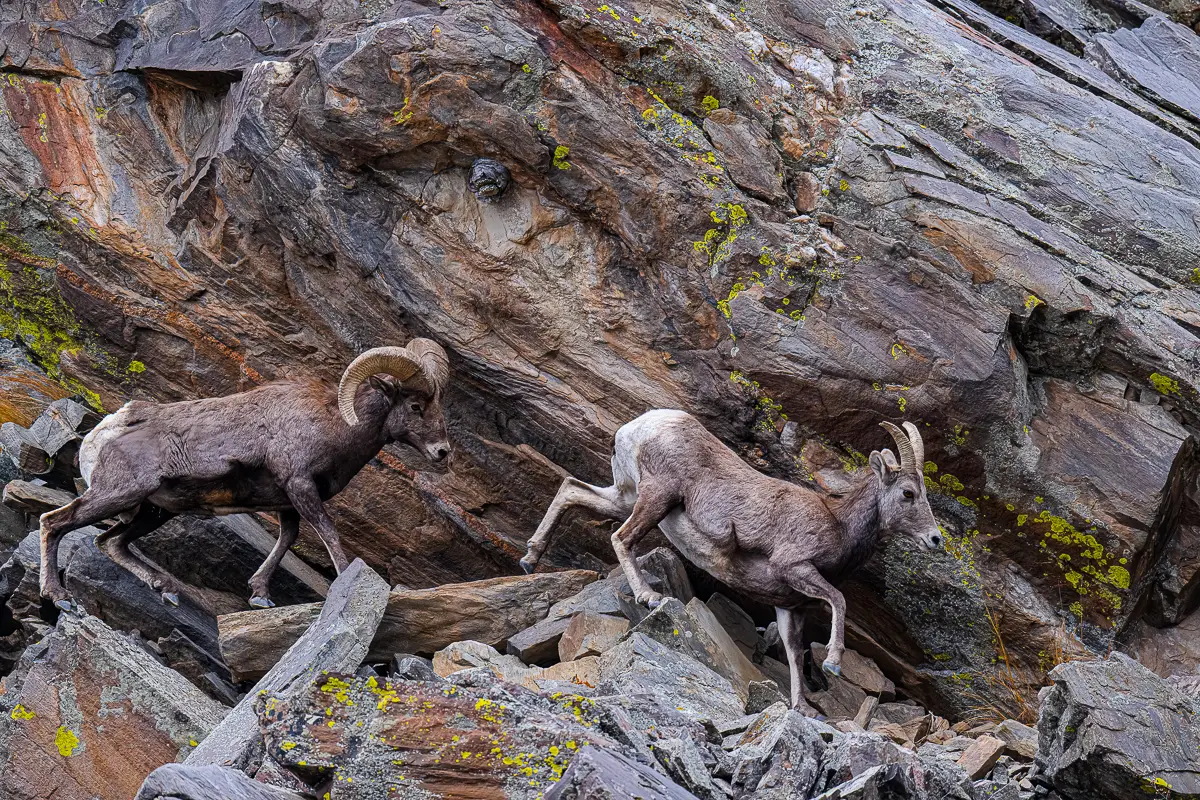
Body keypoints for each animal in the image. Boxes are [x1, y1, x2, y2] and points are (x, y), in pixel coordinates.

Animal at [39, 339, 451, 611]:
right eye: (415, 406)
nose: (443, 453)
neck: (334, 427)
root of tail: (108, 430)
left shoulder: (287, 502)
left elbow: (288, 538)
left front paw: (260, 595)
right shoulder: (301, 486)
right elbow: (329, 536)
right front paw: (348, 583)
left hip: (155, 511)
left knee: (111, 543)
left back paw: (166, 589)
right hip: (117, 494)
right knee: (54, 523)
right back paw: (60, 598)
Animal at [520, 409, 943, 716]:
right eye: (908, 494)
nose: (935, 540)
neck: (837, 523)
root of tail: (640, 426)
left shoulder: (789, 606)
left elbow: (793, 654)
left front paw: (800, 708)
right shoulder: (796, 569)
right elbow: (838, 601)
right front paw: (834, 664)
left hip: (626, 495)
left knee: (572, 489)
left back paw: (530, 558)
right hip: (657, 497)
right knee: (621, 537)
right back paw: (648, 597)